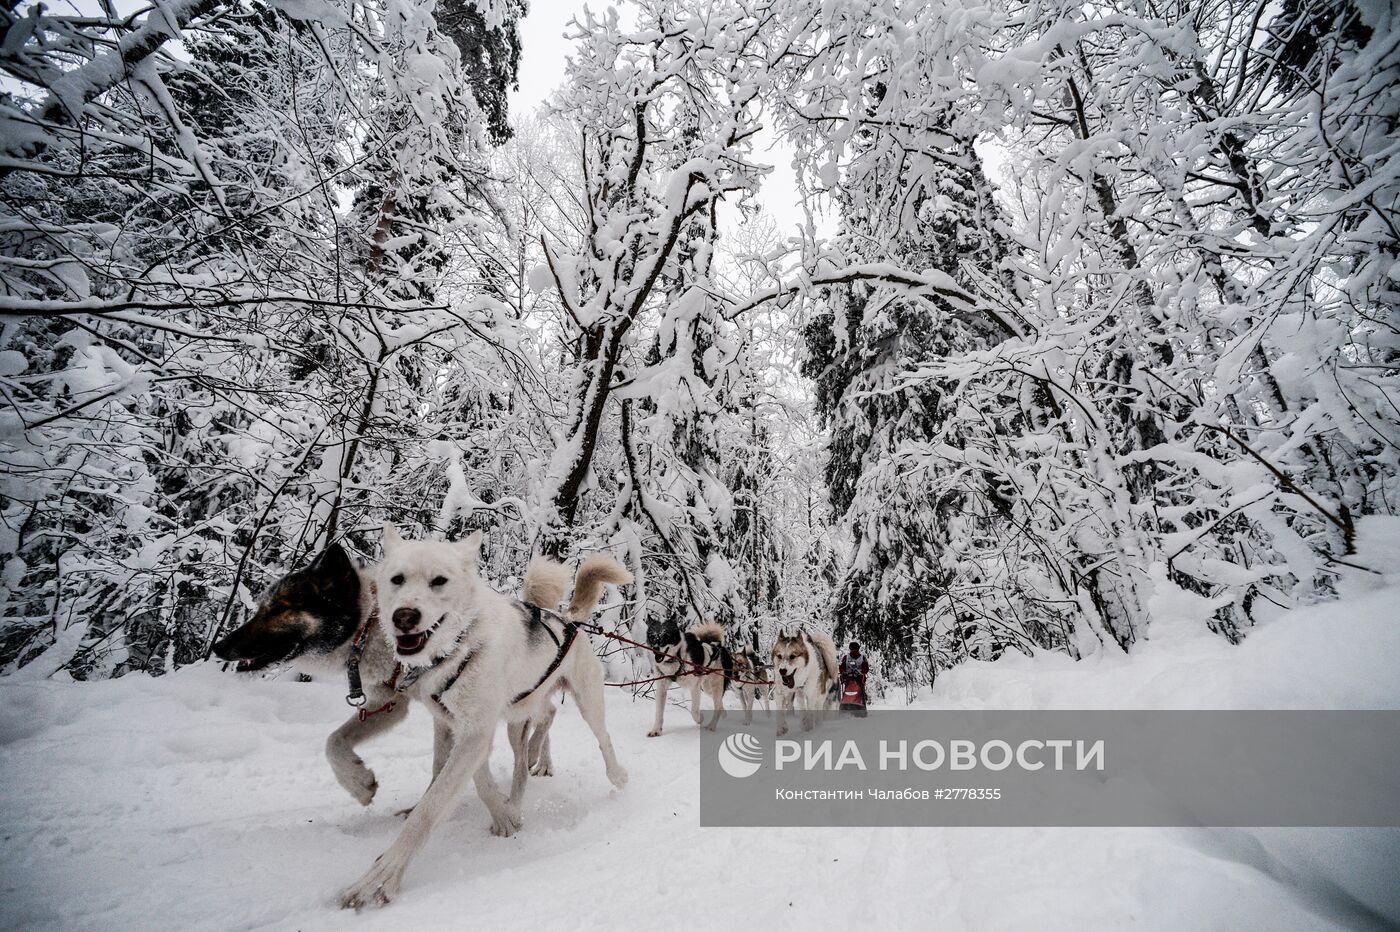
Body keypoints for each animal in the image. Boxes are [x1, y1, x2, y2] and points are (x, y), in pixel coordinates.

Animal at [338, 526, 630, 901]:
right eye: (397, 579)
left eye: (439, 580)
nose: (403, 617)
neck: (461, 646)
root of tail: (568, 619)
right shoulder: (453, 723)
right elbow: (464, 776)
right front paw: (500, 811)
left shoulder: (476, 731)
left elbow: (430, 808)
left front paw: (381, 876)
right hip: (518, 713)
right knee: (535, 738)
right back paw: (528, 772)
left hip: (586, 699)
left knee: (601, 738)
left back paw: (614, 775)